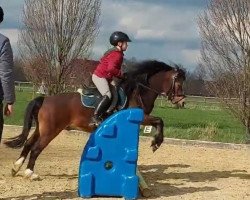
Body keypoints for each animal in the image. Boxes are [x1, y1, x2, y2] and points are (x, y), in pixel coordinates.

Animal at [4, 59, 186, 180]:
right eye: (178, 83)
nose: (182, 102)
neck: (138, 91)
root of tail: (45, 99)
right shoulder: (141, 118)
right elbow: (159, 121)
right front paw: (156, 143)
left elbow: (158, 122)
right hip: (50, 130)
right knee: (36, 148)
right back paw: (30, 173)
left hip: (40, 128)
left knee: (28, 143)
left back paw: (16, 167)